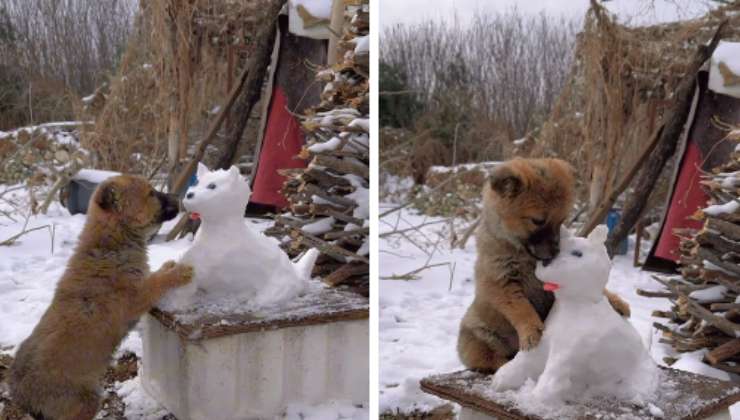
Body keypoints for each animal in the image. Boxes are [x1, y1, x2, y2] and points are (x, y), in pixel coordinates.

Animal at [8, 175, 192, 420]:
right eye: (151, 193)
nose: (180, 197)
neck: (111, 241)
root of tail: (22, 397)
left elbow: (154, 275)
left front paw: (168, 266)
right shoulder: (135, 297)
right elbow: (156, 282)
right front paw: (178, 272)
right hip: (85, 402)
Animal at [456, 159, 632, 372]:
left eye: (562, 220)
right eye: (537, 221)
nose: (555, 252)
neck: (522, 254)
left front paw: (616, 301)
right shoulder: (500, 282)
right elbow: (521, 308)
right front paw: (532, 330)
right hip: (480, 340)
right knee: (490, 360)